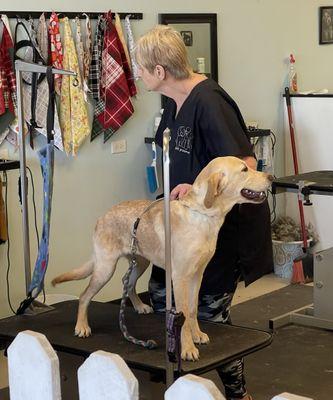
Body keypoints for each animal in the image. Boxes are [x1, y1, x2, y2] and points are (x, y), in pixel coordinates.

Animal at [51, 157, 270, 362]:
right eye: (244, 169)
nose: (270, 177)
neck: (202, 216)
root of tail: (101, 217)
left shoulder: (197, 275)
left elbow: (192, 310)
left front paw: (197, 335)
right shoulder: (180, 278)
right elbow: (183, 314)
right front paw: (188, 349)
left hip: (140, 263)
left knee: (126, 283)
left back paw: (140, 306)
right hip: (105, 268)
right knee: (84, 295)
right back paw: (82, 326)